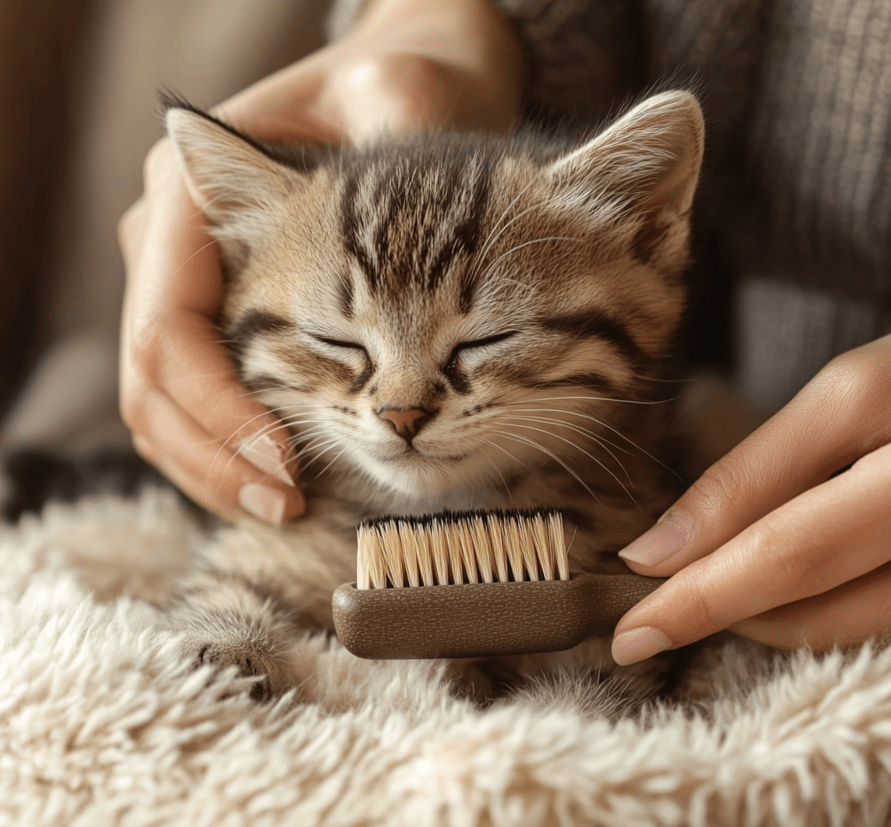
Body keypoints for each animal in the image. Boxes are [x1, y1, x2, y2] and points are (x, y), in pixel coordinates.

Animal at [160, 92, 704, 704]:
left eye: (486, 340)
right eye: (338, 342)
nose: (403, 414)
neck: (439, 519)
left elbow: (598, 685)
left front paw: (558, 714)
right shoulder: (272, 542)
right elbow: (222, 588)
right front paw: (217, 651)